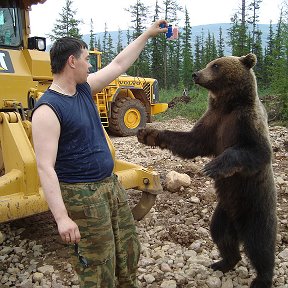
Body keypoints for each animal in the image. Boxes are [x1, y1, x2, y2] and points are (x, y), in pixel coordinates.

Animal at [138, 53, 278, 286]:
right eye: (210, 63)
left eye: (216, 65)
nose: (196, 74)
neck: (228, 105)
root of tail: (238, 223)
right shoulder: (213, 121)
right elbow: (191, 142)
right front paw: (149, 133)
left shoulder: (247, 121)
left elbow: (258, 151)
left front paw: (213, 166)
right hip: (224, 211)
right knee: (221, 234)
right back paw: (223, 262)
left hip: (255, 207)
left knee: (260, 245)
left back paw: (262, 278)